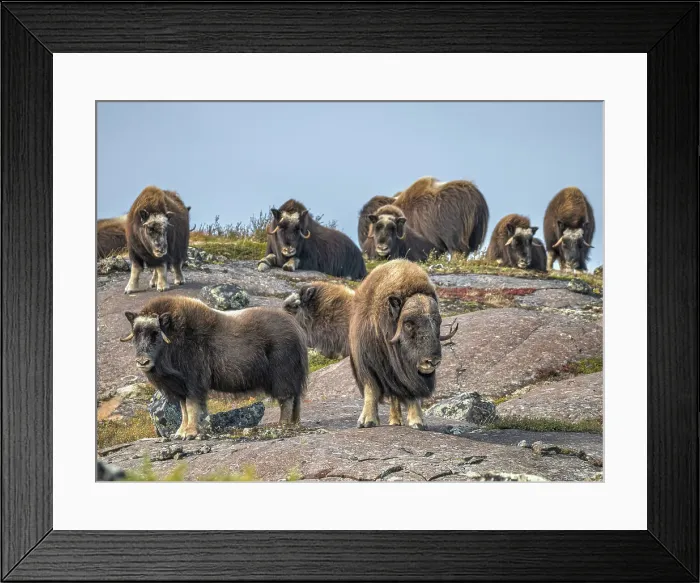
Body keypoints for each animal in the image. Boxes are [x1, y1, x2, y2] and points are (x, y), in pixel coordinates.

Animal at [120, 296, 308, 438]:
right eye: (136, 334)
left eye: (156, 334)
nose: (142, 362)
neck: (175, 338)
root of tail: (294, 326)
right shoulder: (180, 387)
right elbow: (183, 409)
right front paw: (180, 433)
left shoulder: (193, 383)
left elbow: (191, 406)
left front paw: (189, 433)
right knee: (295, 399)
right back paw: (293, 423)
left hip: (282, 375)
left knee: (286, 398)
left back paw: (282, 424)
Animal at [349, 259, 458, 430]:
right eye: (408, 324)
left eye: (438, 322)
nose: (432, 361)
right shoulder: (367, 364)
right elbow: (371, 389)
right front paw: (367, 421)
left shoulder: (408, 376)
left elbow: (411, 393)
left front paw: (418, 422)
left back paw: (396, 421)